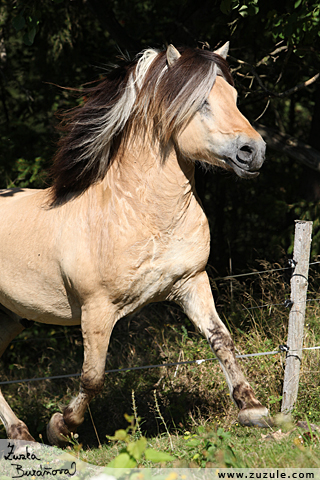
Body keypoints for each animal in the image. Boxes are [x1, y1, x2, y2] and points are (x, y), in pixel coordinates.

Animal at [0, 42, 270, 446]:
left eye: (235, 98)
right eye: (201, 102)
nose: (253, 152)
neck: (142, 214)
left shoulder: (192, 283)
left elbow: (221, 339)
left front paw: (253, 409)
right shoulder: (97, 309)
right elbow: (92, 377)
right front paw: (60, 427)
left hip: (9, 318)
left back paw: (21, 434)